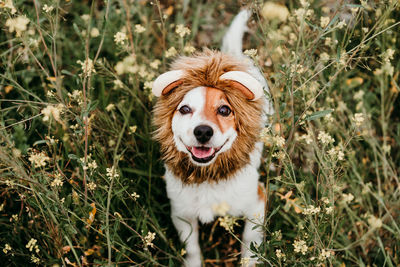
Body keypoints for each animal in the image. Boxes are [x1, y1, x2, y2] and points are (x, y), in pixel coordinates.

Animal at [152, 9, 274, 266]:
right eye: (184, 109)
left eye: (225, 110)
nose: (203, 131)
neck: (209, 176)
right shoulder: (182, 215)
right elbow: (192, 249)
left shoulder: (257, 204)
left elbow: (249, 243)